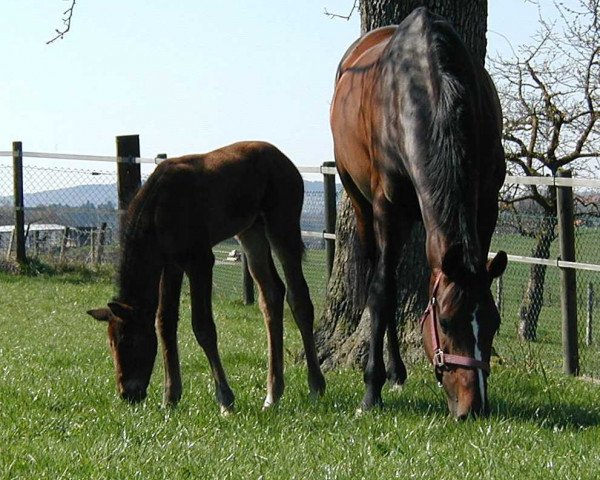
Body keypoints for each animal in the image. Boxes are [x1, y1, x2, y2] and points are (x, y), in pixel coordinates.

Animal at [86, 140, 326, 412]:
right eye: (111, 343)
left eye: (129, 341)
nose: (127, 393)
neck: (157, 210)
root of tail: (286, 161)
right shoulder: (171, 264)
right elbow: (165, 322)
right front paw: (170, 397)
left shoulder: (199, 260)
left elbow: (203, 327)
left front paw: (225, 399)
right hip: (251, 231)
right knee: (272, 295)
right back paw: (272, 394)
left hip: (282, 225)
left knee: (299, 298)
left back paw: (315, 386)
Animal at [330, 8, 508, 420]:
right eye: (445, 321)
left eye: (493, 321)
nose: (473, 407)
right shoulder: (387, 207)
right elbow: (382, 291)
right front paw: (371, 388)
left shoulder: (487, 201)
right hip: (359, 199)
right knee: (378, 276)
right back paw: (390, 372)